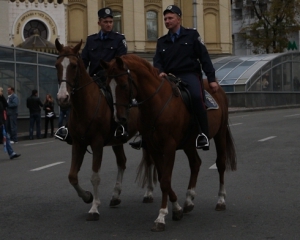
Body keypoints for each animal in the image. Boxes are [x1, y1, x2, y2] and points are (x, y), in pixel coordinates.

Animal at [54, 39, 157, 221]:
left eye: (73, 65)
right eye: (56, 65)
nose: (62, 98)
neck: (85, 105)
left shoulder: (97, 143)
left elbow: (95, 176)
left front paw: (94, 208)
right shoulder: (78, 144)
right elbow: (72, 176)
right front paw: (87, 196)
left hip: (146, 136)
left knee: (149, 160)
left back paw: (149, 193)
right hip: (117, 140)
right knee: (122, 162)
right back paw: (115, 196)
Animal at [101, 54, 237, 231]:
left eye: (123, 85)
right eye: (107, 86)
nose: (118, 118)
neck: (156, 104)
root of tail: (218, 89)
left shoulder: (169, 147)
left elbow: (165, 180)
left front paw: (161, 217)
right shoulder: (153, 148)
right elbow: (162, 177)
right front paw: (177, 208)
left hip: (219, 134)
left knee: (220, 163)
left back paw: (220, 200)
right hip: (188, 143)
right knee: (196, 163)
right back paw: (188, 200)